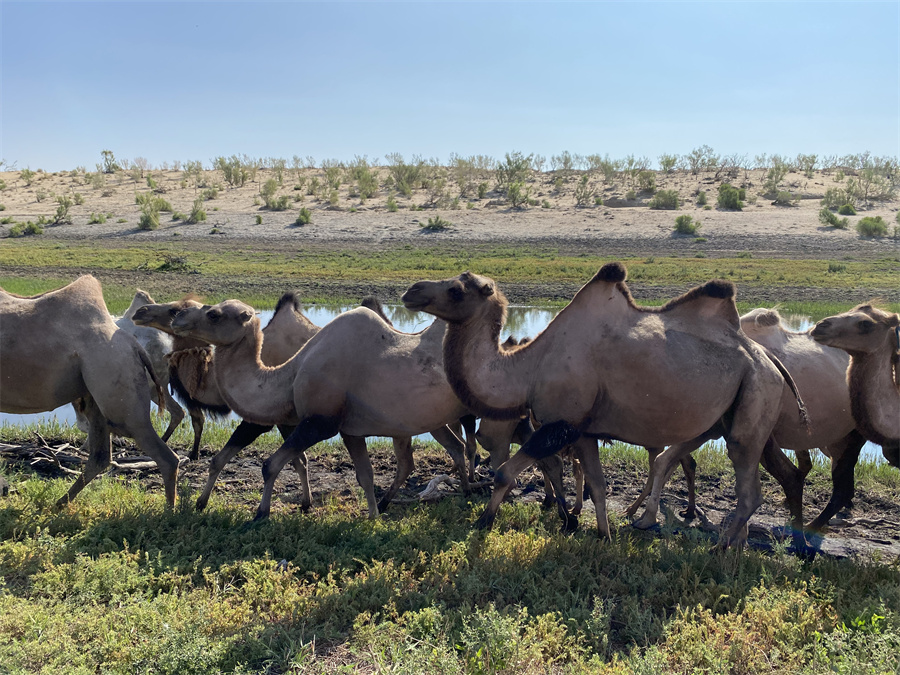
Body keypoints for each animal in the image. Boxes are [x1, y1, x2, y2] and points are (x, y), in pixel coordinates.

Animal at [0, 276, 179, 508]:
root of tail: (134, 346)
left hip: (118, 390)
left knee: (162, 454)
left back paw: (169, 511)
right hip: (100, 397)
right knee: (100, 456)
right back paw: (58, 505)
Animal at [169, 302, 500, 524]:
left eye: (213, 314)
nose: (177, 316)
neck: (290, 375)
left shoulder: (321, 422)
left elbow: (271, 464)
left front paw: (260, 514)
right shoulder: (349, 429)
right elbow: (364, 475)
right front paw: (373, 517)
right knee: (451, 451)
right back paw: (466, 494)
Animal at [400, 264, 808, 548]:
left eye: (456, 289)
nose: (411, 290)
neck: (528, 367)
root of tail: (769, 360)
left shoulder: (559, 422)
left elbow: (505, 472)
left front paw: (483, 523)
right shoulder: (584, 429)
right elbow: (596, 484)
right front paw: (602, 534)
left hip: (753, 400)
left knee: (748, 488)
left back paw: (720, 549)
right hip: (742, 413)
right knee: (775, 474)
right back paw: (748, 545)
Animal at [628, 308, 868, 536]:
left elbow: (668, 462)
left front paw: (643, 514)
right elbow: (673, 462)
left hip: (850, 437)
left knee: (839, 486)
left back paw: (809, 528)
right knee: (817, 471)